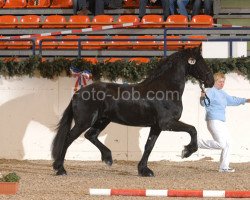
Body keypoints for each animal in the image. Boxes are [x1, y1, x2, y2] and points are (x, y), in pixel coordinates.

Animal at [51, 46, 214, 177]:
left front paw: (144, 170)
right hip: (84, 121)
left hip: (102, 120)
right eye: (199, 61)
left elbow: (149, 146)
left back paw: (108, 158)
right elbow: (192, 129)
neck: (166, 90)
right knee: (68, 138)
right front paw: (187, 152)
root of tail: (77, 94)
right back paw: (60, 169)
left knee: (90, 135)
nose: (211, 81)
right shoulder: (167, 123)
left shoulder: (156, 126)